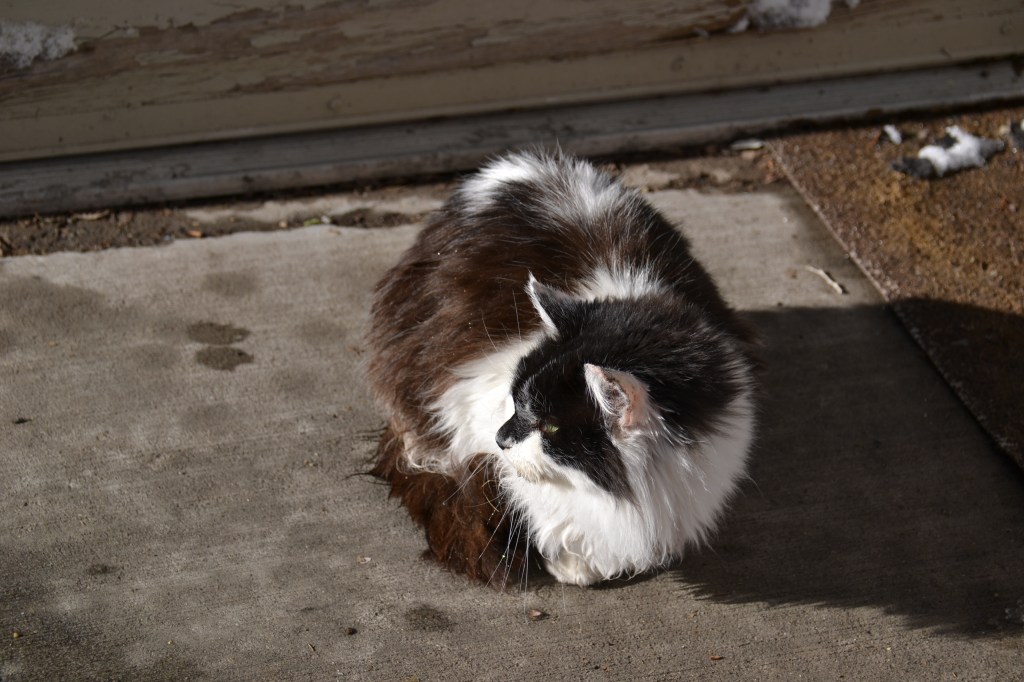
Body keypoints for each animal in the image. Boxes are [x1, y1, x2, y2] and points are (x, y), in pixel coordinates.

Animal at [366, 150, 757, 587]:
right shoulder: (467, 397)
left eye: (552, 427)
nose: (501, 438)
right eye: (516, 403)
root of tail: (517, 163)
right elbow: (544, 502)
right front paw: (576, 561)